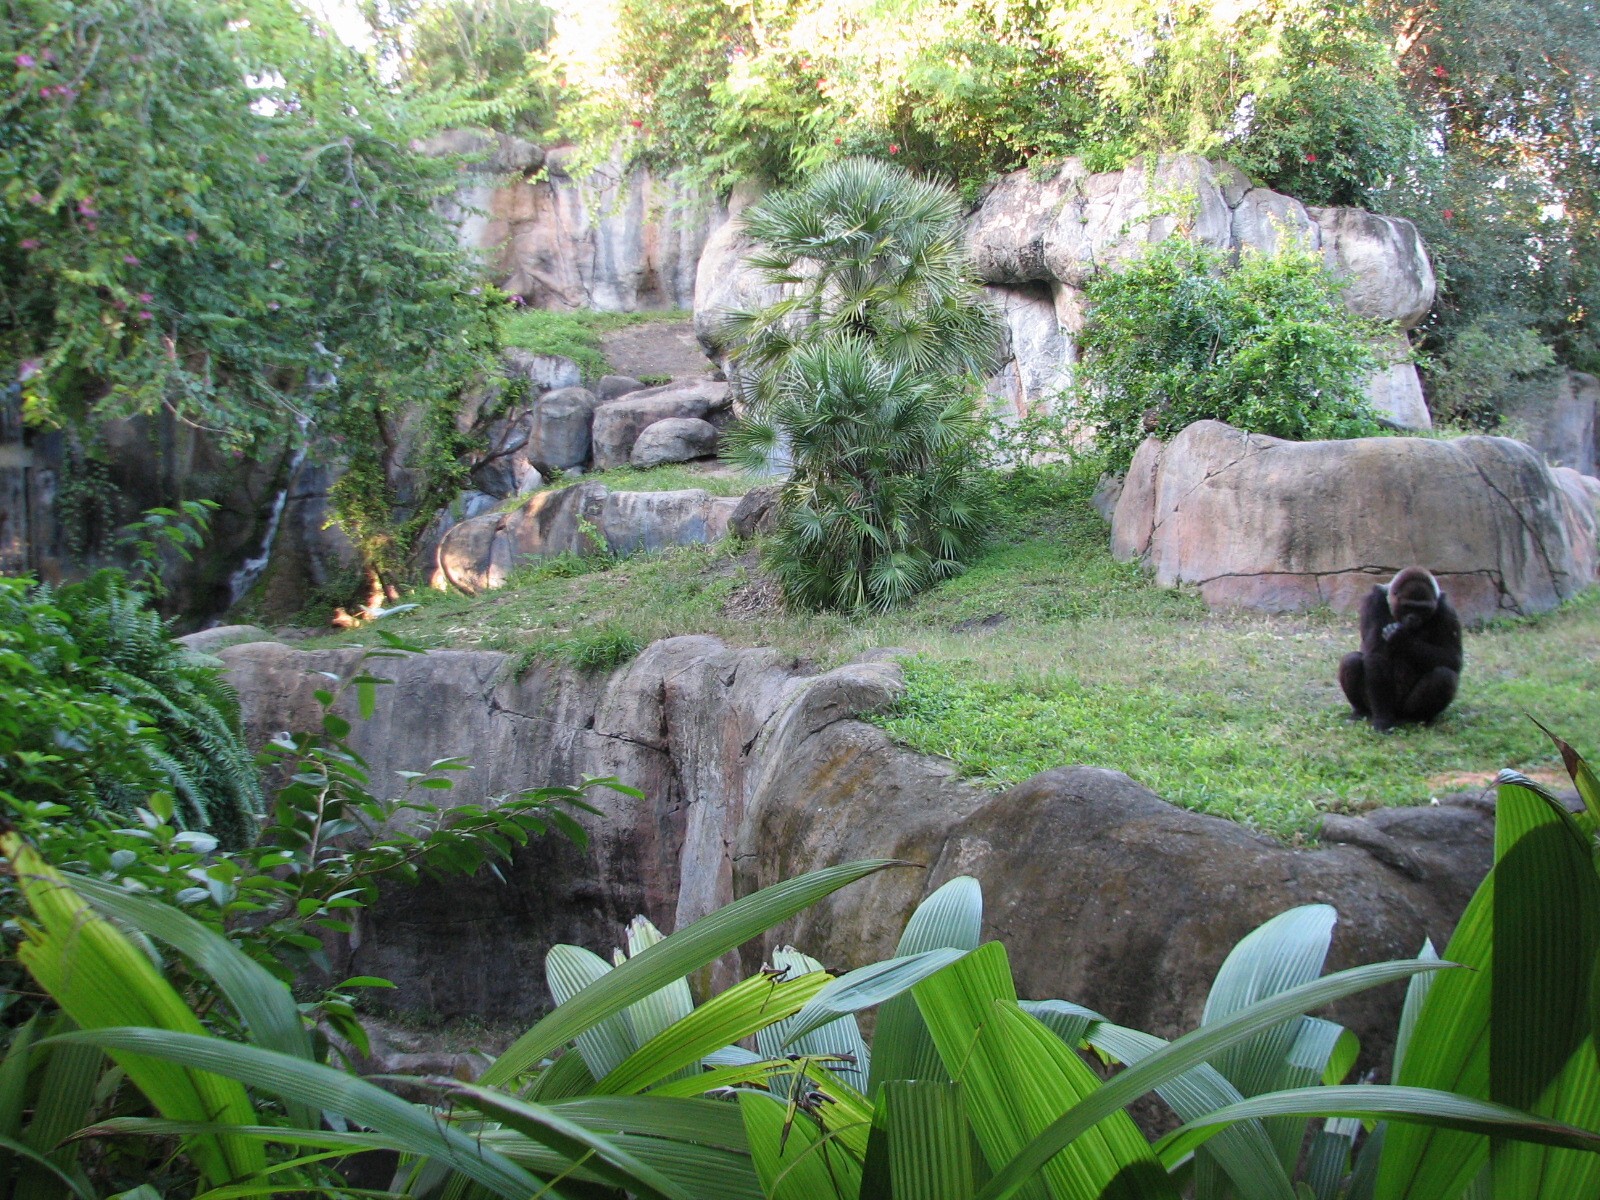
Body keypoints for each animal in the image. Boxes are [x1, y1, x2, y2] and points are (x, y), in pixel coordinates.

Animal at [1337, 567, 1463, 732]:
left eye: (1423, 609)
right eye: (1408, 606)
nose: (1413, 618)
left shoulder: (1447, 609)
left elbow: (1453, 658)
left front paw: (1402, 639)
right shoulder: (1374, 600)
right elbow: (1377, 655)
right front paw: (1382, 719)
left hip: (1404, 709)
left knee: (1444, 676)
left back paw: (1418, 718)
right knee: (1351, 661)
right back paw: (1361, 712)